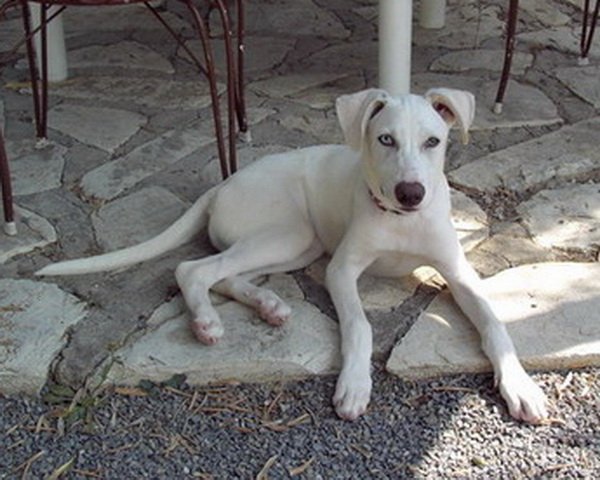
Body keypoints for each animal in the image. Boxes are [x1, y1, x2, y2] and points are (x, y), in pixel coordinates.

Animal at [37, 88, 548, 423]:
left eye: (433, 141)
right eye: (384, 139)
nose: (410, 193)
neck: (401, 222)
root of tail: (221, 185)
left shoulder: (458, 272)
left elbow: (494, 323)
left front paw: (520, 385)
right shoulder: (340, 270)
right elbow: (360, 325)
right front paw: (355, 384)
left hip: (298, 245)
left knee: (226, 274)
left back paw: (270, 305)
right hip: (289, 234)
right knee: (193, 268)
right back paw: (207, 323)